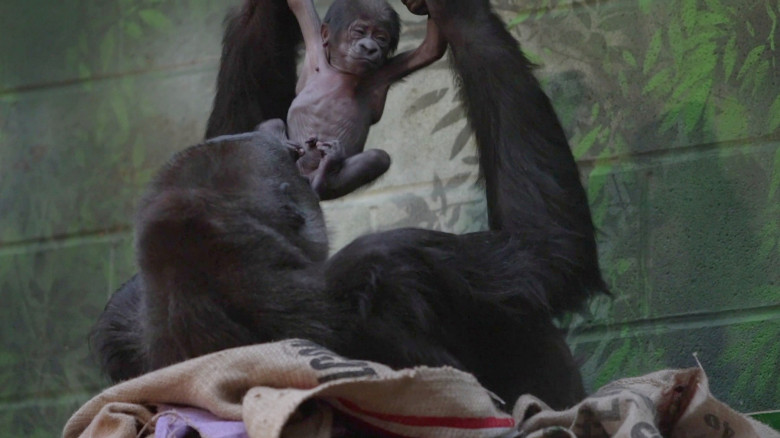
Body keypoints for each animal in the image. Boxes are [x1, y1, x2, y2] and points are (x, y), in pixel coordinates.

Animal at [286, 0, 444, 198]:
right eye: (359, 32)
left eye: (381, 38)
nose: (369, 47)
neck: (342, 70)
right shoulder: (316, 50)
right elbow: (299, 6)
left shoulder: (382, 74)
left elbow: (430, 49)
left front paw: (419, 5)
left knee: (377, 158)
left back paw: (325, 174)